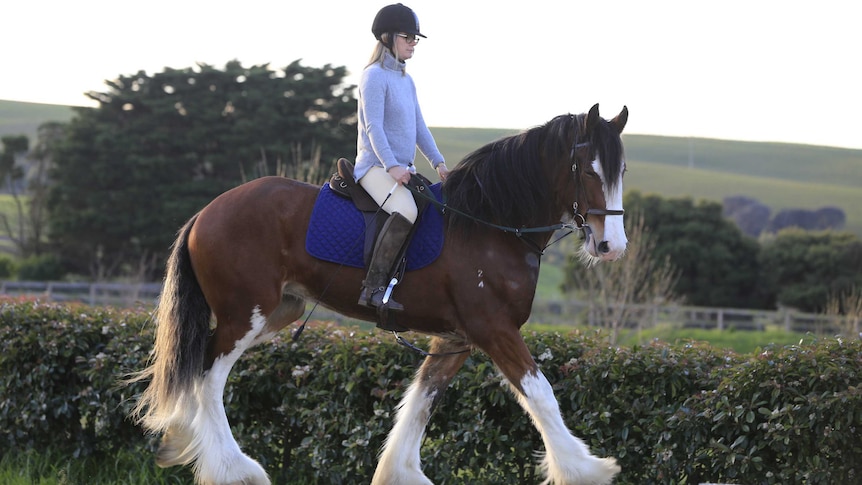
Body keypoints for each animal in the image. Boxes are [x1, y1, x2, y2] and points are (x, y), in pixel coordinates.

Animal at [130, 104, 628, 482]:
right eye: (588, 171)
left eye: (621, 169)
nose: (612, 246)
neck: (490, 225)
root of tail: (206, 213)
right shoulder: (494, 330)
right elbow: (540, 394)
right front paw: (585, 470)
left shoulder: (456, 339)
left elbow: (422, 400)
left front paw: (400, 473)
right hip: (243, 314)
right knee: (207, 376)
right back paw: (234, 469)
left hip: (276, 312)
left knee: (198, 368)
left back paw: (181, 439)